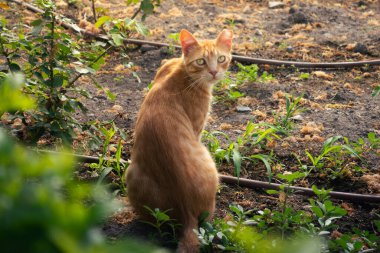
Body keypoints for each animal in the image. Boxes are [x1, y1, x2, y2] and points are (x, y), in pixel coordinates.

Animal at [126, 28, 233, 252]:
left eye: (221, 59)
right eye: (201, 61)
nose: (213, 72)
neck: (182, 70)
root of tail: (187, 212)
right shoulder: (198, 128)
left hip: (131, 174)